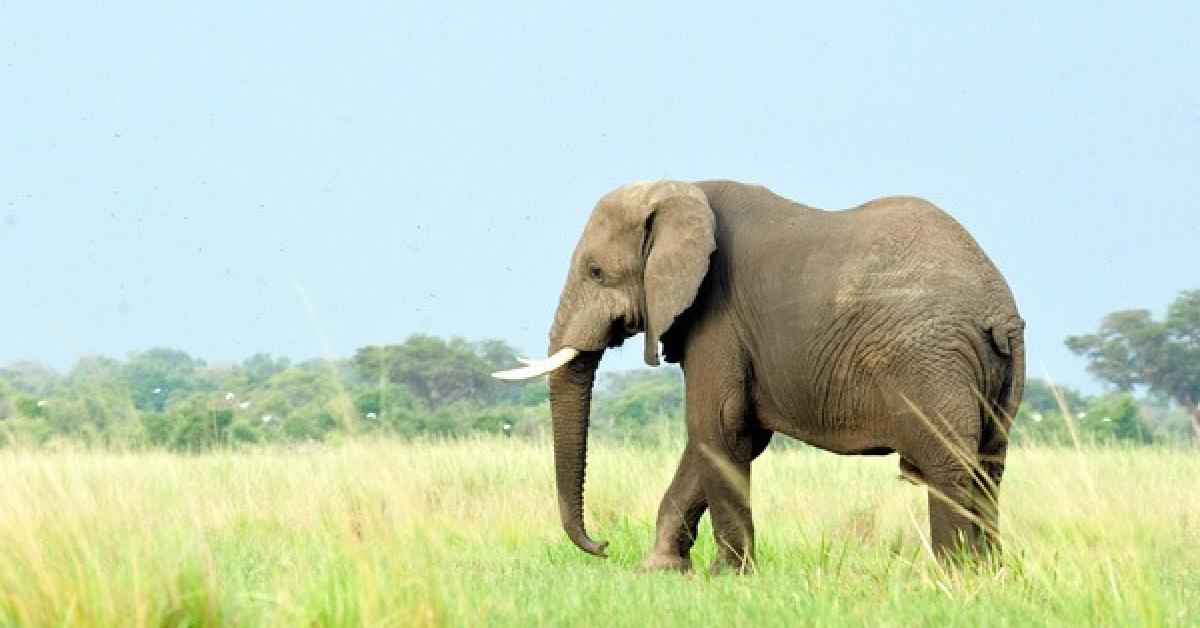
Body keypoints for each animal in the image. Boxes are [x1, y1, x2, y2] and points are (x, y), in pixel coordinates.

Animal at [494, 180, 1025, 573]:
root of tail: (996, 307)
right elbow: (724, 439)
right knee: (989, 467)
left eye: (596, 272)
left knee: (948, 466)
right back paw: (990, 574)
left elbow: (718, 426)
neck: (685, 191)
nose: (602, 546)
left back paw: (954, 576)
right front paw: (659, 571)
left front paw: (728, 577)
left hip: (928, 360)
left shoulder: (718, 316)